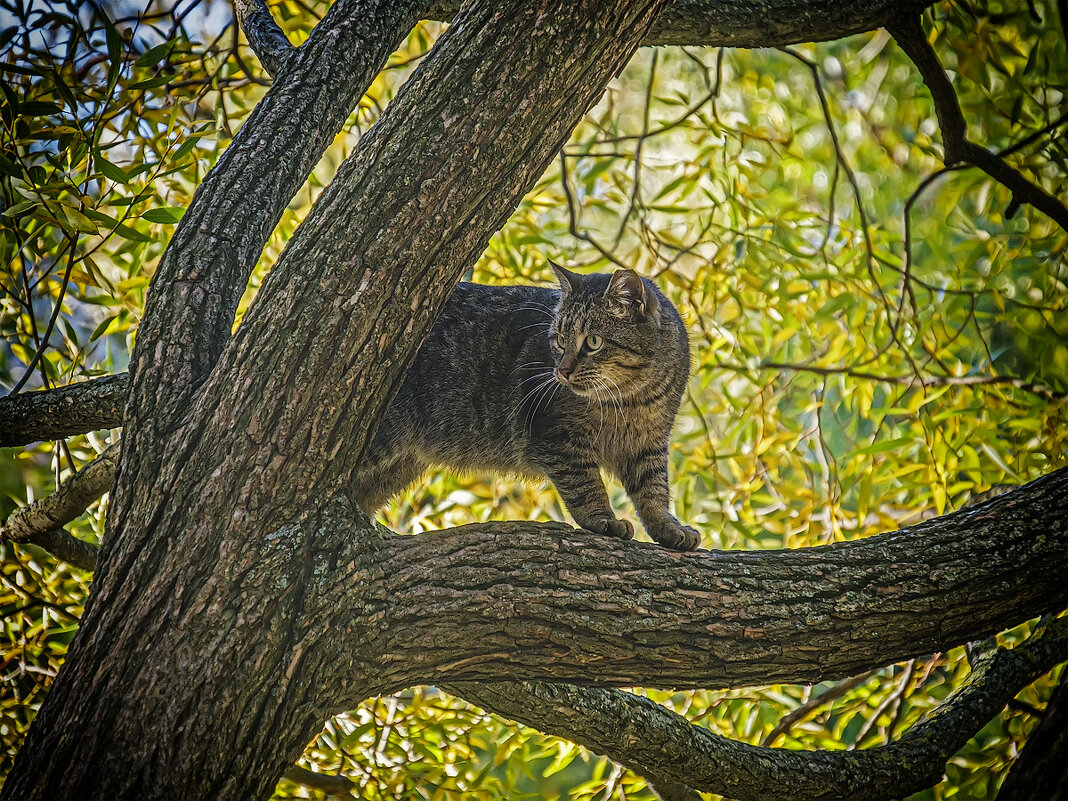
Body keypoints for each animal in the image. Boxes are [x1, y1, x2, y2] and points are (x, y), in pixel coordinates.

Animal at [350, 263, 700, 551]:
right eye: (560, 339)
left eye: (593, 342)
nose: (562, 371)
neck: (630, 401)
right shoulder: (559, 438)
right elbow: (586, 486)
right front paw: (604, 520)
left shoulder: (649, 444)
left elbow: (653, 491)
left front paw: (668, 528)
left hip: (398, 467)